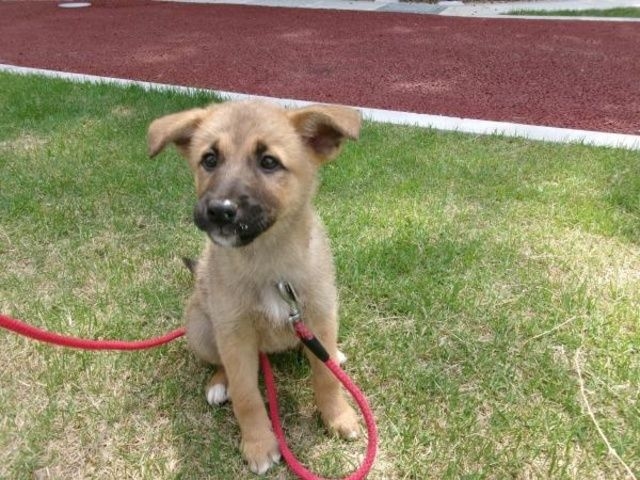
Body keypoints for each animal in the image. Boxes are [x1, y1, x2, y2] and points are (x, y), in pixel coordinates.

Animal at [147, 99, 362, 474]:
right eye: (209, 159)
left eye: (269, 162)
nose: (219, 210)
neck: (268, 263)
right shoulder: (235, 335)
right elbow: (247, 396)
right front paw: (259, 445)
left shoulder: (319, 314)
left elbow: (325, 376)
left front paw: (338, 417)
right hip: (202, 329)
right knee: (221, 366)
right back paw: (219, 384)